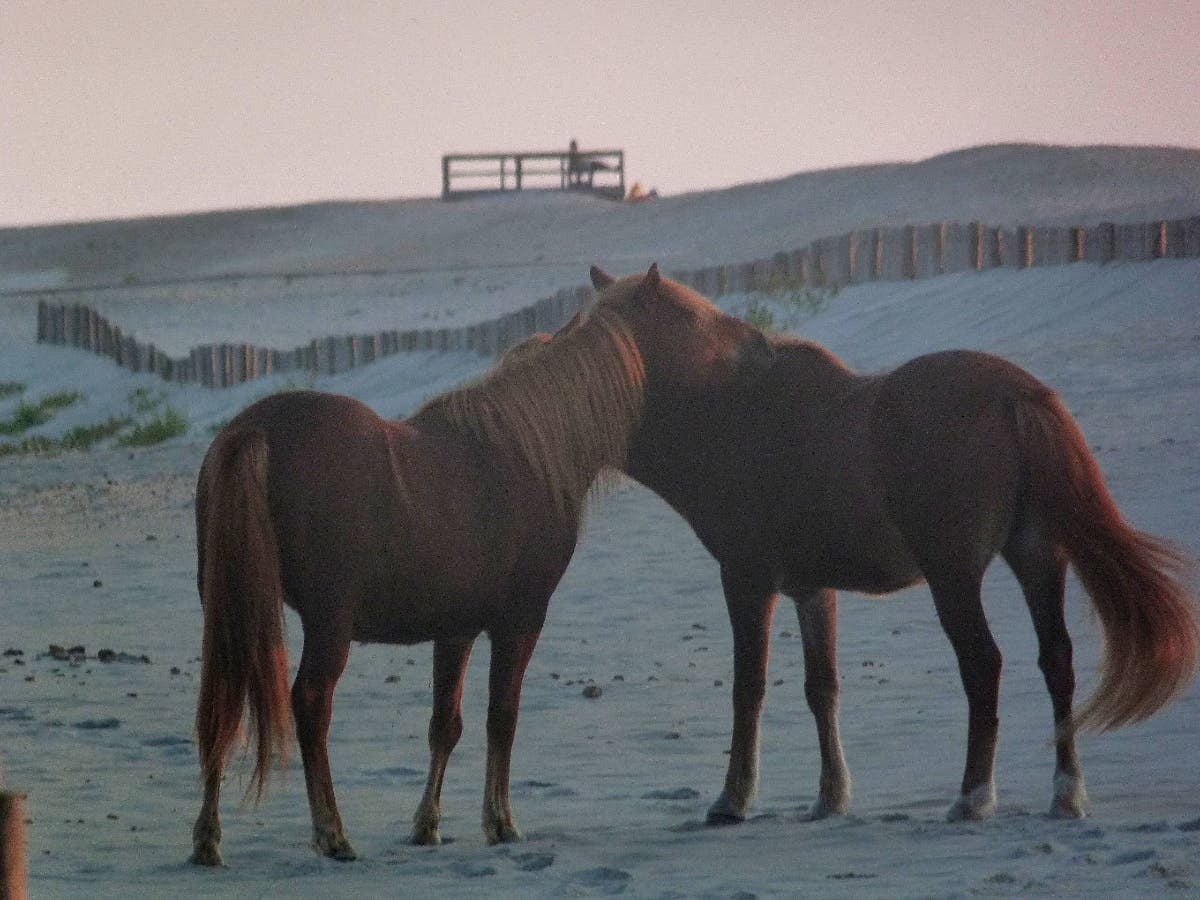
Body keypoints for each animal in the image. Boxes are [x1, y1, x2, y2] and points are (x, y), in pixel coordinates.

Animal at [188, 264, 774, 866]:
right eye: (689, 314)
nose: (754, 342)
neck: (528, 447)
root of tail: (253, 431)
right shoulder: (520, 619)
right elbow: (502, 717)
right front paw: (501, 822)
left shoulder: (456, 629)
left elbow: (445, 725)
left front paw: (427, 826)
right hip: (329, 623)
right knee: (309, 704)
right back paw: (332, 833)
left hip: (229, 607)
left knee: (220, 704)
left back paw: (208, 838)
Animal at [542, 266, 1198, 825]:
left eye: (597, 329)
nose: (555, 357)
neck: (731, 413)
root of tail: (1017, 393)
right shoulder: (812, 589)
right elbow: (822, 689)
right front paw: (831, 797)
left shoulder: (746, 579)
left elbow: (748, 689)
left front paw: (733, 799)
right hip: (1039, 557)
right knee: (1056, 659)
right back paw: (1066, 794)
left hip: (954, 574)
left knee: (983, 664)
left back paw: (973, 797)